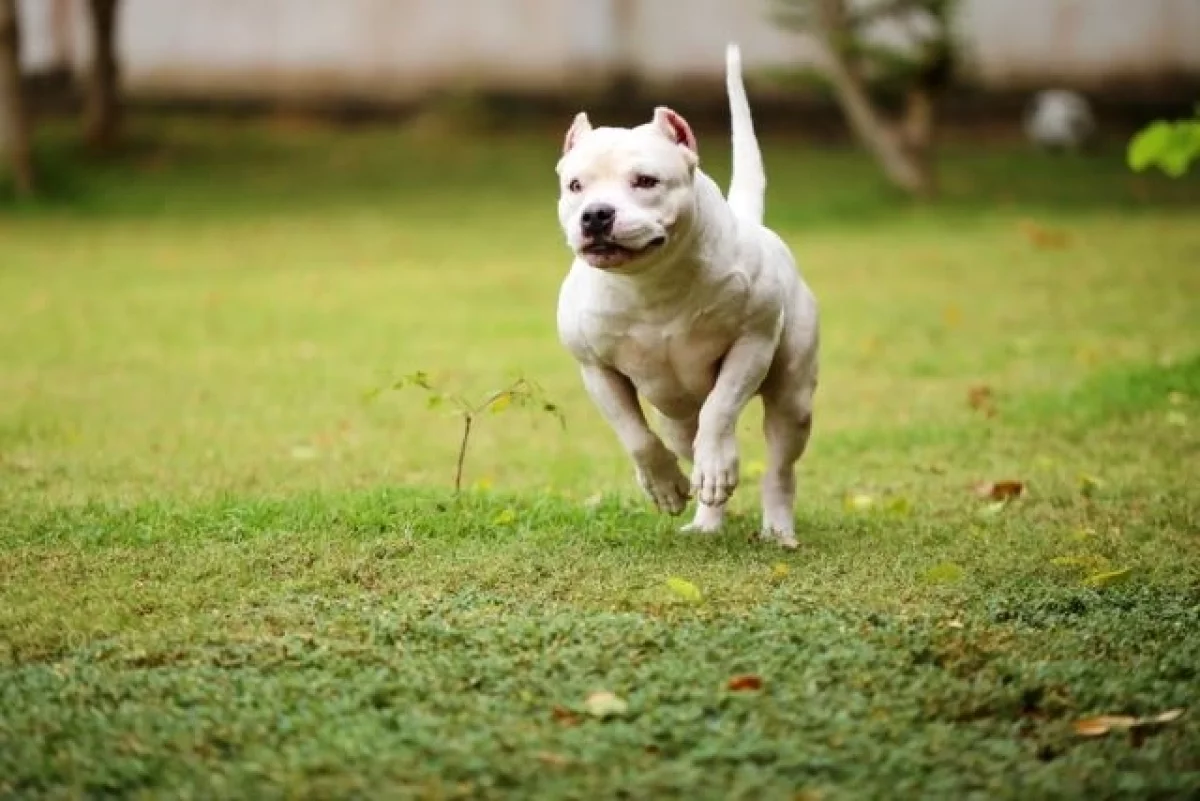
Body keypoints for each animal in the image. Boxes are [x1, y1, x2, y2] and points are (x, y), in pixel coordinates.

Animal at [549, 43, 816, 551]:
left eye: (646, 181)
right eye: (576, 186)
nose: (596, 214)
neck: (652, 282)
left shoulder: (751, 343)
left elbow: (720, 409)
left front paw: (714, 464)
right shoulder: (597, 369)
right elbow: (634, 434)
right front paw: (665, 485)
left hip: (794, 395)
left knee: (776, 463)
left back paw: (776, 526)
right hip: (673, 414)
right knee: (684, 438)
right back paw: (707, 520)